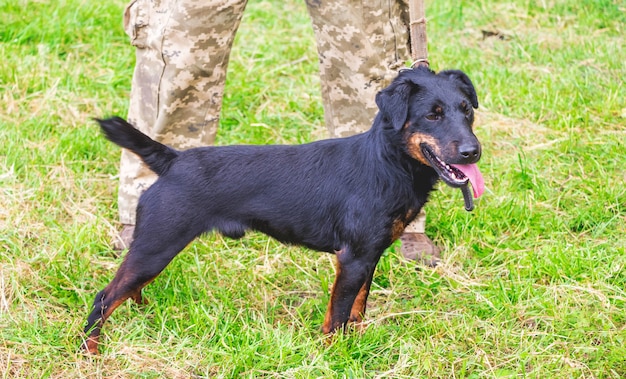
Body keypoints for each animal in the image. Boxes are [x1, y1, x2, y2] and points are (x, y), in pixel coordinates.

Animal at [81, 67, 482, 354]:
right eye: (432, 116)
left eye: (467, 113)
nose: (473, 151)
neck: (386, 163)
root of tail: (173, 160)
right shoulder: (352, 258)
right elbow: (337, 315)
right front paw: (335, 355)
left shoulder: (369, 256)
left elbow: (358, 305)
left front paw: (358, 339)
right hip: (157, 245)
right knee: (104, 298)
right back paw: (91, 351)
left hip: (154, 249)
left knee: (126, 289)